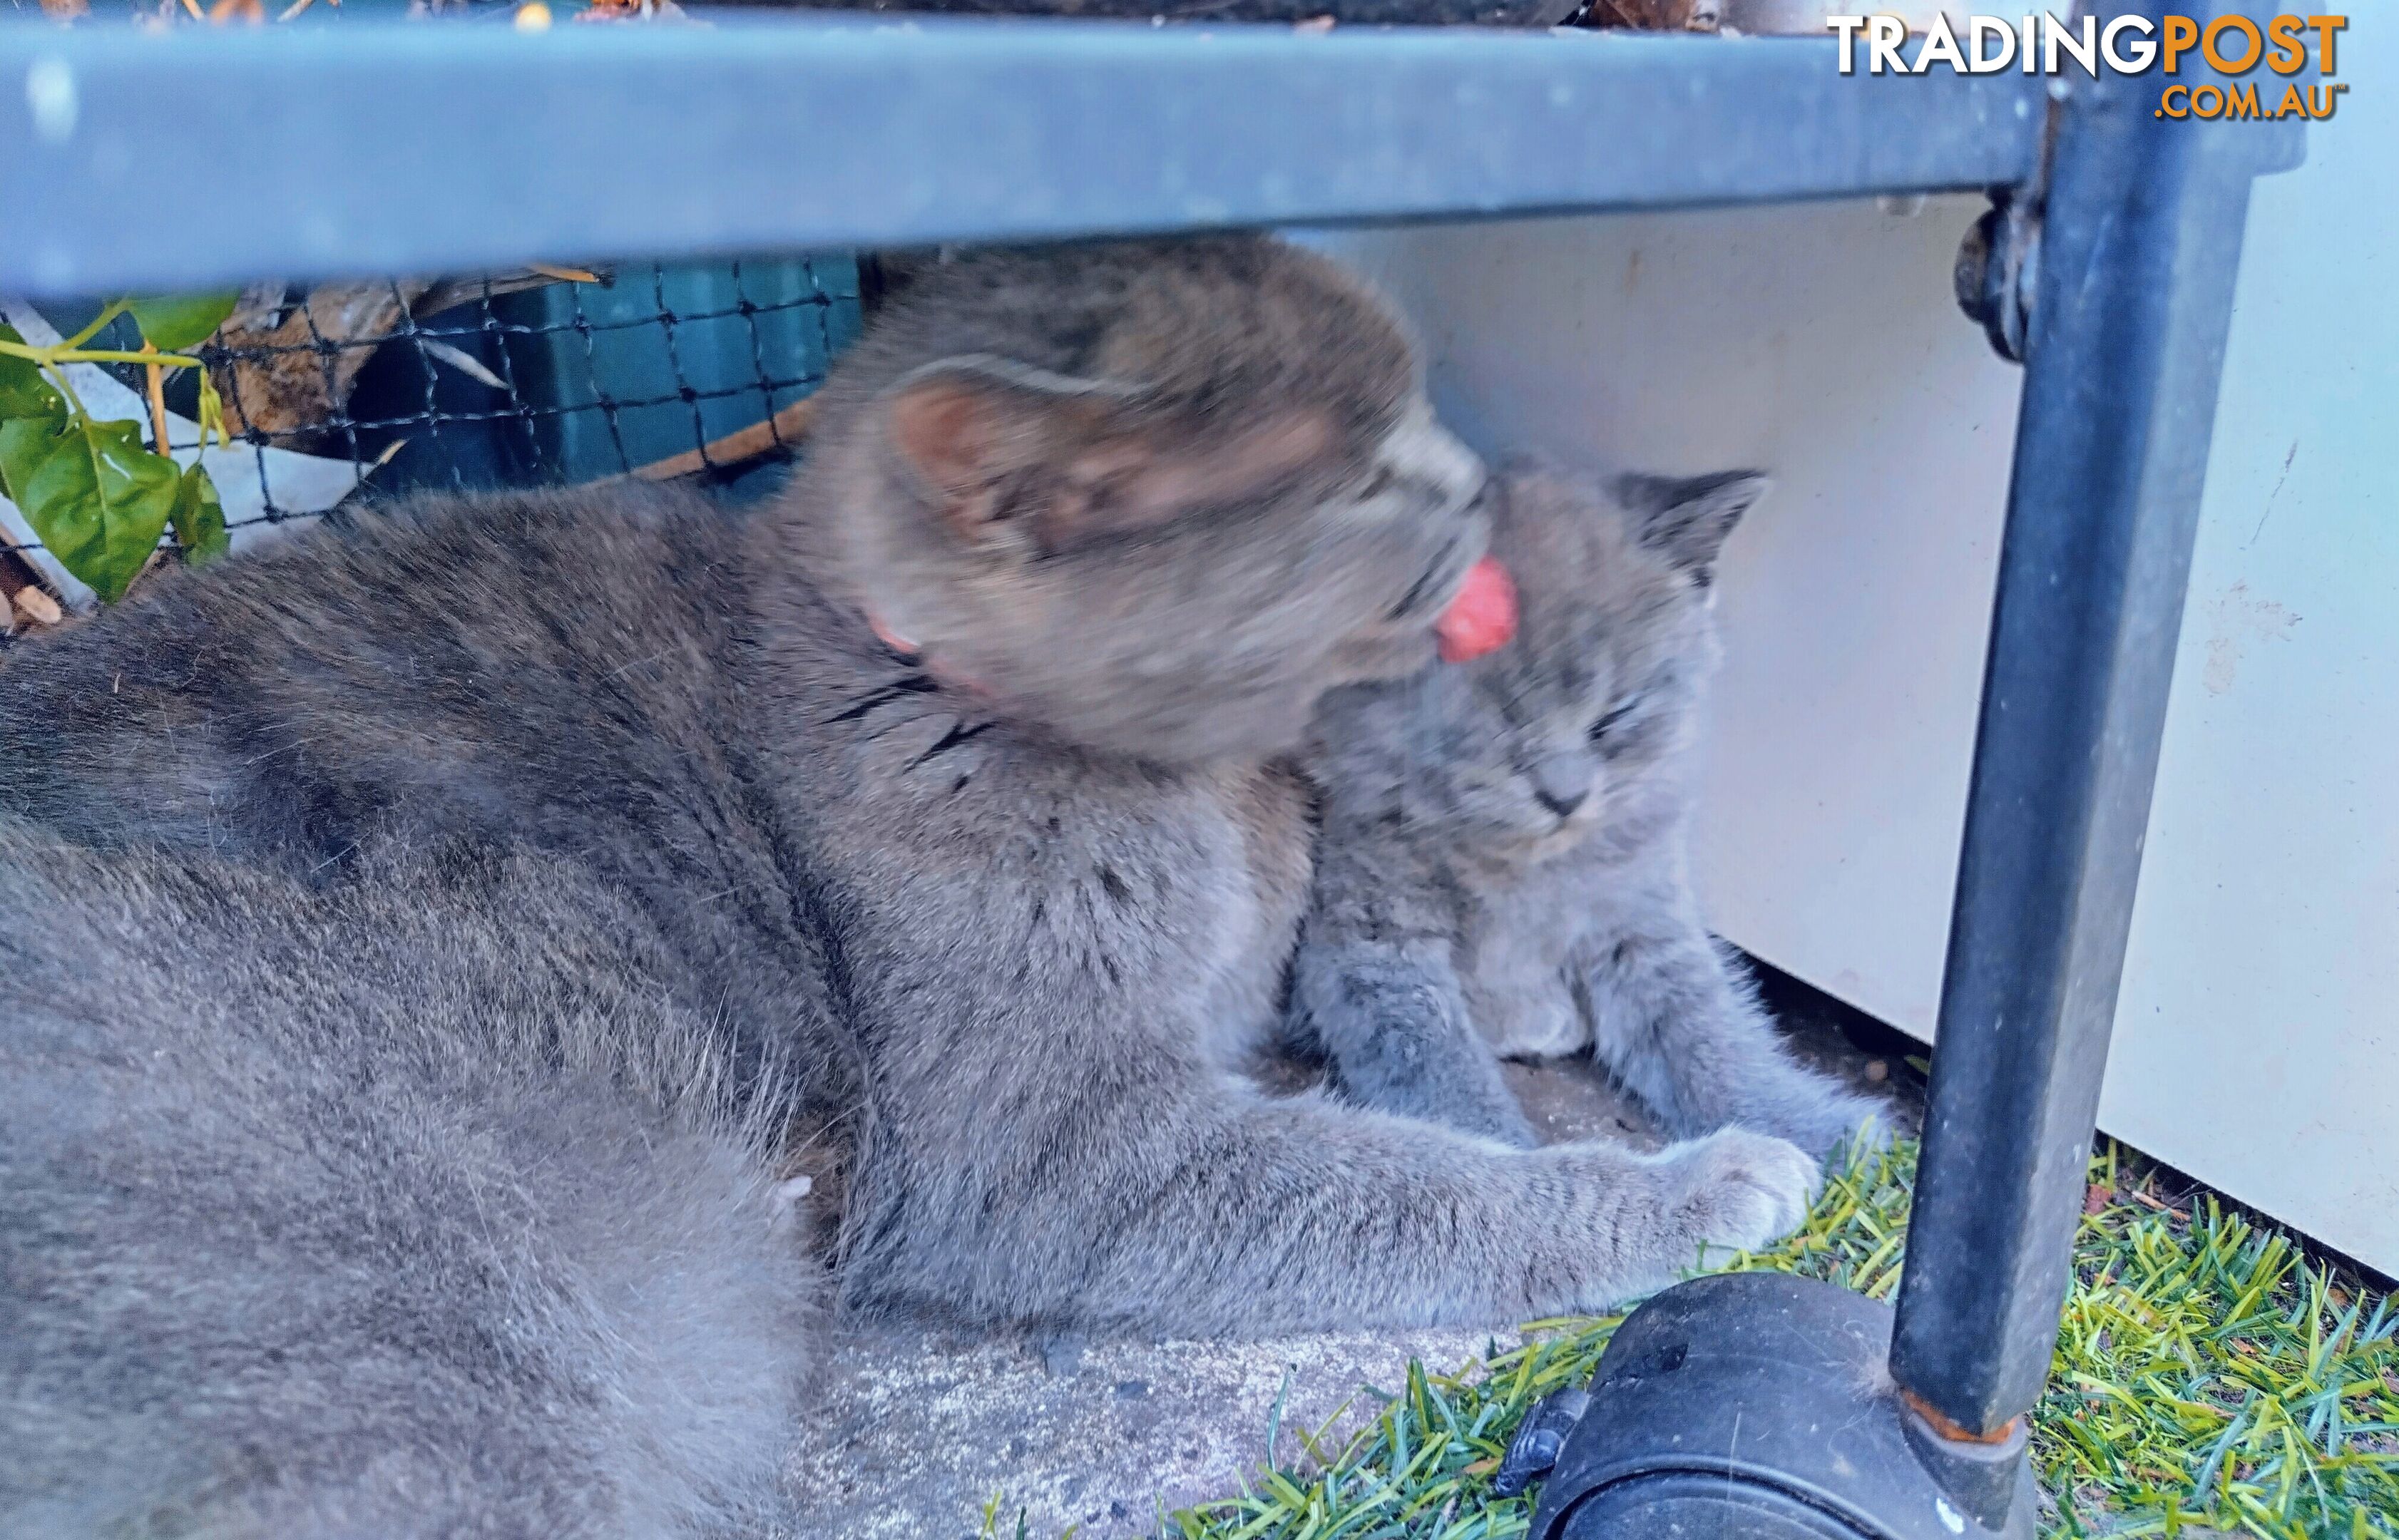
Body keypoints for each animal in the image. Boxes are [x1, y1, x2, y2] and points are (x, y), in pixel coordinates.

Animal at [1295, 460, 1890, 1156]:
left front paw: (1826, 1134)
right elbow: (1434, 1069)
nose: (1566, 797)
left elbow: (1713, 1033)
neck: (1523, 869)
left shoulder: (1644, 919)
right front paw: (1507, 1153)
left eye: (1614, 717)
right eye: (1505, 723)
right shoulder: (1370, 942)